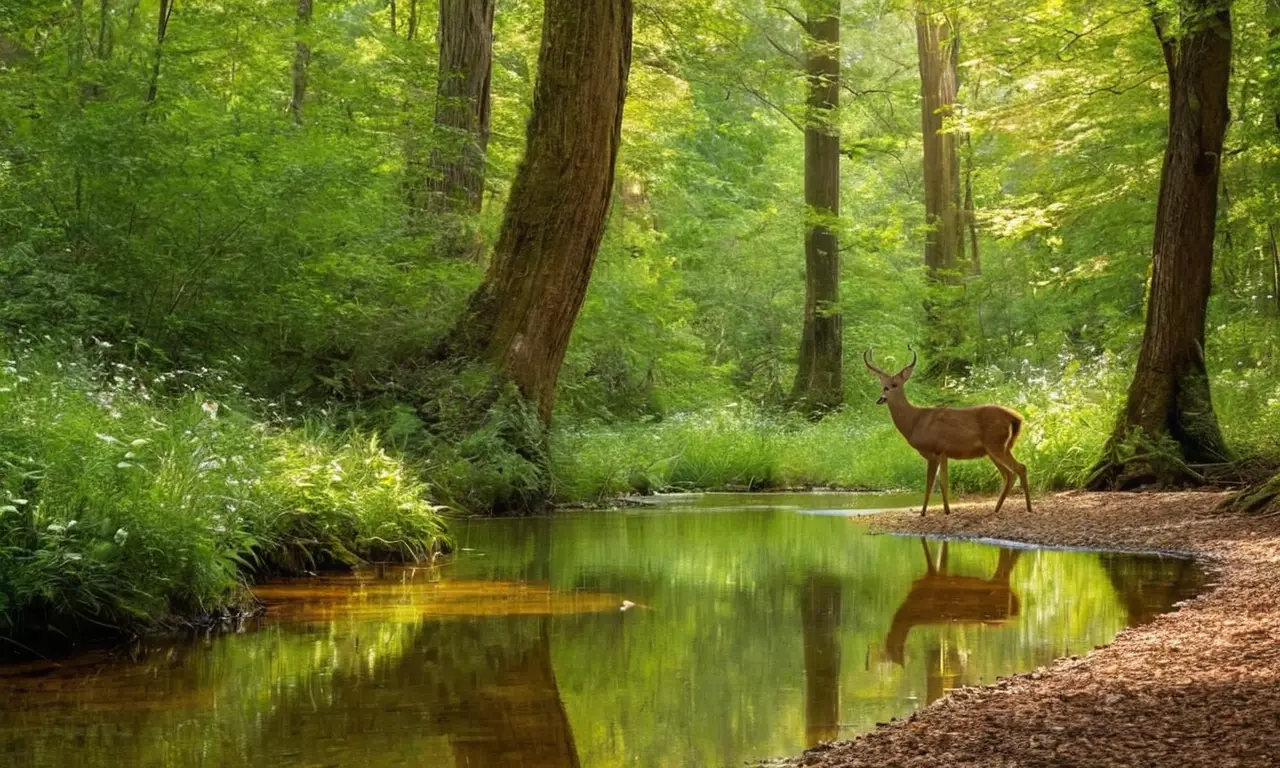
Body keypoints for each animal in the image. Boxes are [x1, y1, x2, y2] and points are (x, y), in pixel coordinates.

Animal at [863, 346, 1032, 516]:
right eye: (882, 384)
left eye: (894, 384)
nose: (881, 397)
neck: (914, 422)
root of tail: (1015, 418)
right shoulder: (944, 453)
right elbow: (944, 483)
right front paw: (947, 511)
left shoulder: (933, 450)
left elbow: (930, 484)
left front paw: (922, 513)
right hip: (997, 448)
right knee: (1009, 474)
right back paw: (997, 508)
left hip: (996, 444)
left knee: (1019, 468)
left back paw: (1028, 508)